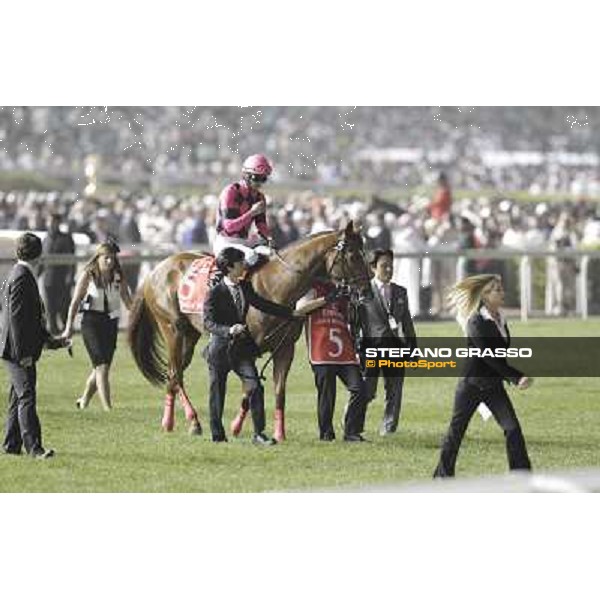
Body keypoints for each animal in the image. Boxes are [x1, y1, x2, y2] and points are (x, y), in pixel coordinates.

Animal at [126, 220, 370, 440]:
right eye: (353, 256)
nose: (366, 290)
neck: (276, 286)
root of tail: (155, 270)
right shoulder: (247, 348)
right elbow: (249, 389)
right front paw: (237, 427)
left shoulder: (285, 349)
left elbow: (277, 391)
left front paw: (277, 433)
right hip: (172, 329)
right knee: (176, 373)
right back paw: (192, 421)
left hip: (189, 335)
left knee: (173, 374)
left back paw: (169, 421)